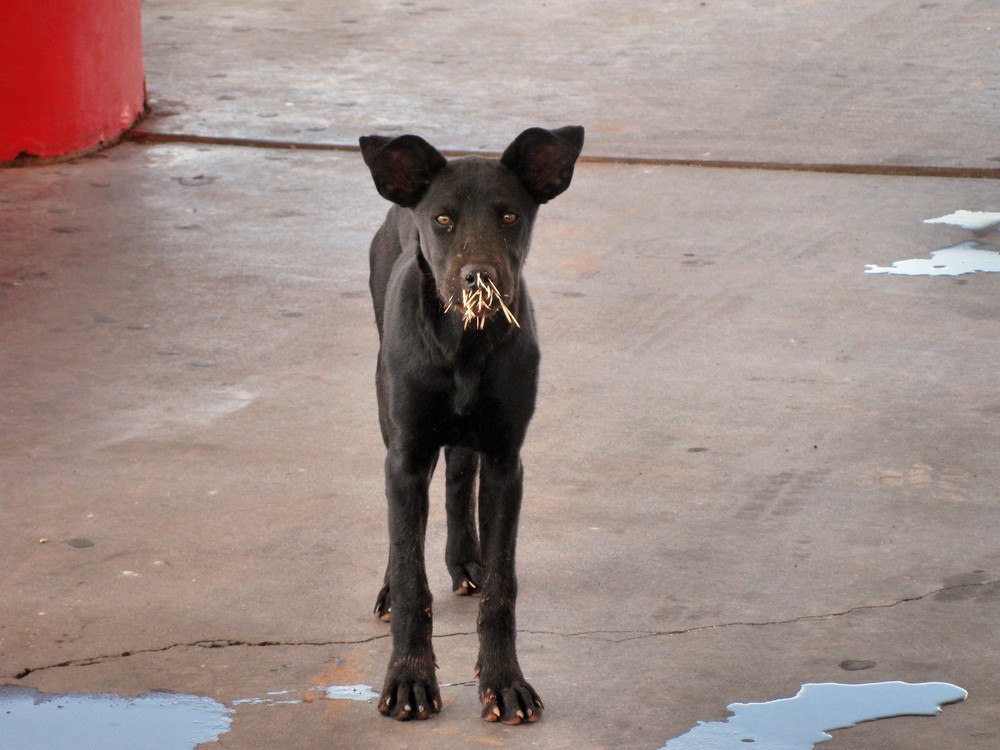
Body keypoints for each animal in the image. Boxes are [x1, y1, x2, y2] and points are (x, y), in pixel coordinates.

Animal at [360, 126, 584, 724]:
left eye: (509, 216)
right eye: (442, 219)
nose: (479, 277)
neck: (464, 344)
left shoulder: (508, 461)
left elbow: (503, 587)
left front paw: (505, 683)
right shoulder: (406, 457)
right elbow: (410, 575)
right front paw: (410, 679)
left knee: (461, 473)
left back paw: (465, 560)